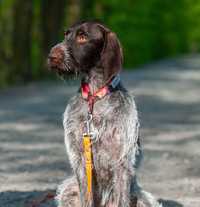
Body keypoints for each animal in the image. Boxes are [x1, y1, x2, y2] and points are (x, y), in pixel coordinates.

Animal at [48, 20, 162, 207]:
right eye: (66, 34)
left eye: (82, 37)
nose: (51, 56)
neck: (95, 98)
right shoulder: (80, 162)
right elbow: (86, 197)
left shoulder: (121, 162)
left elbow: (121, 198)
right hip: (68, 190)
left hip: (143, 198)